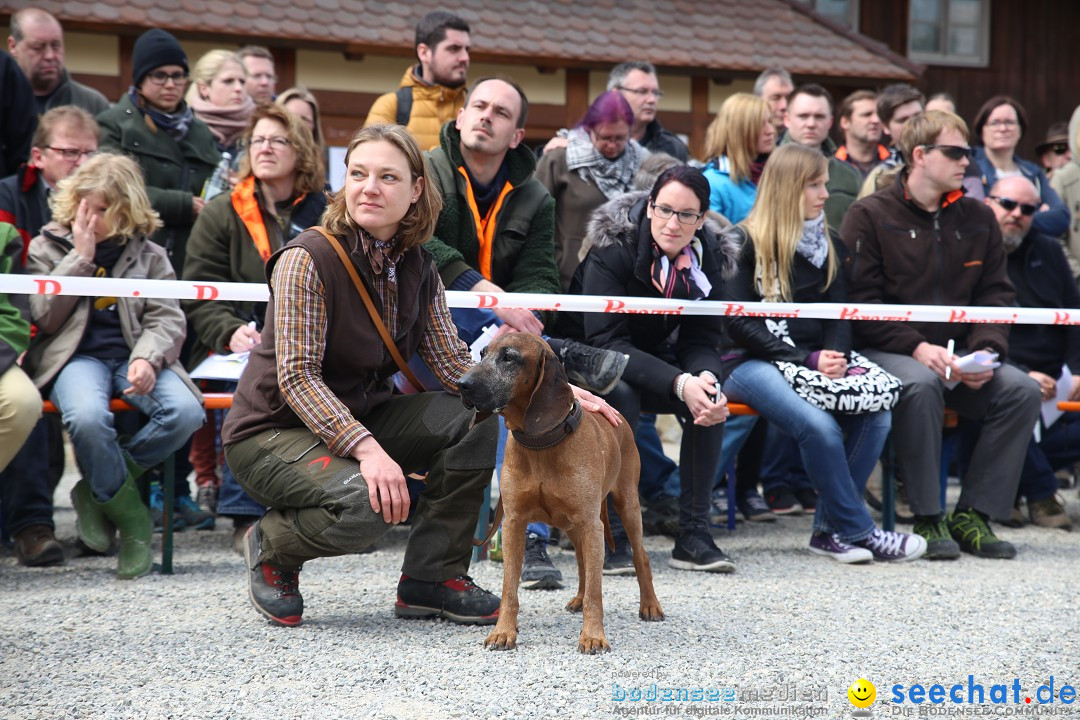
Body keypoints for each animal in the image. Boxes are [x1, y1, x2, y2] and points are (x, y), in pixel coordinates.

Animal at [453, 332, 660, 651]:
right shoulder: (513, 522)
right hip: (574, 525)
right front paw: (503, 631)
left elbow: (596, 593)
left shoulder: (591, 524)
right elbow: (510, 589)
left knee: (641, 557)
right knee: (583, 564)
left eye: (509, 357)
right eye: (483, 353)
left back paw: (650, 605)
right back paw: (577, 599)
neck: (541, 442)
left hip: (626, 505)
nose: (461, 383)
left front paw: (593, 635)